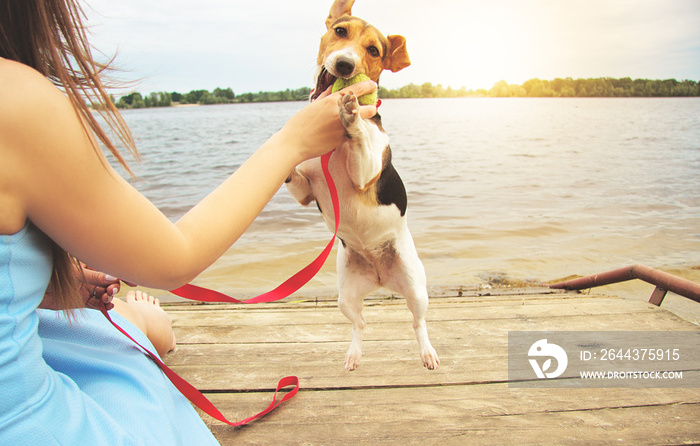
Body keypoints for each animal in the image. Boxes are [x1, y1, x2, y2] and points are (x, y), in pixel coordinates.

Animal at [284, 0, 438, 372]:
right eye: (340, 31)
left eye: (373, 51)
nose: (345, 64)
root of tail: (380, 276)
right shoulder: (304, 192)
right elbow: (294, 174)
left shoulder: (364, 173)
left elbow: (360, 144)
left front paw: (353, 117)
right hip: (346, 295)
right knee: (360, 324)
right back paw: (354, 353)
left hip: (416, 288)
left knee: (418, 323)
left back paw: (427, 352)